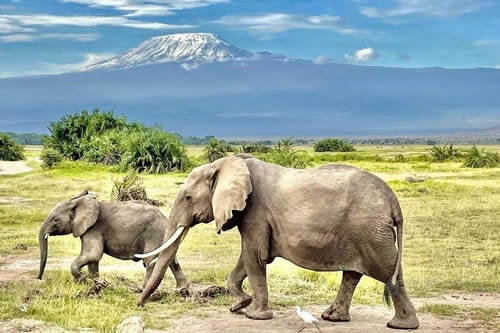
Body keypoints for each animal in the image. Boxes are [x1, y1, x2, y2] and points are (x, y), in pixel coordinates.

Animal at [37, 191, 189, 290]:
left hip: (154, 233)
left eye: (55, 220)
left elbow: (93, 254)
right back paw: (181, 290)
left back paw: (143, 289)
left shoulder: (93, 228)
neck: (77, 202)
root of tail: (166, 219)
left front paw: (82, 280)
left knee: (151, 261)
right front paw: (94, 283)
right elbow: (93, 260)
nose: (39, 279)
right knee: (169, 260)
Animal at [136, 154, 418, 328]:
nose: (139, 305)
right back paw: (333, 318)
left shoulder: (255, 211)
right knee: (355, 273)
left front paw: (255, 316)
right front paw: (239, 306)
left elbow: (254, 256)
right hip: (362, 232)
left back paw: (401, 325)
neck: (230, 162)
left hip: (370, 231)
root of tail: (393, 202)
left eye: (187, 198)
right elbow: (246, 258)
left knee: (387, 271)